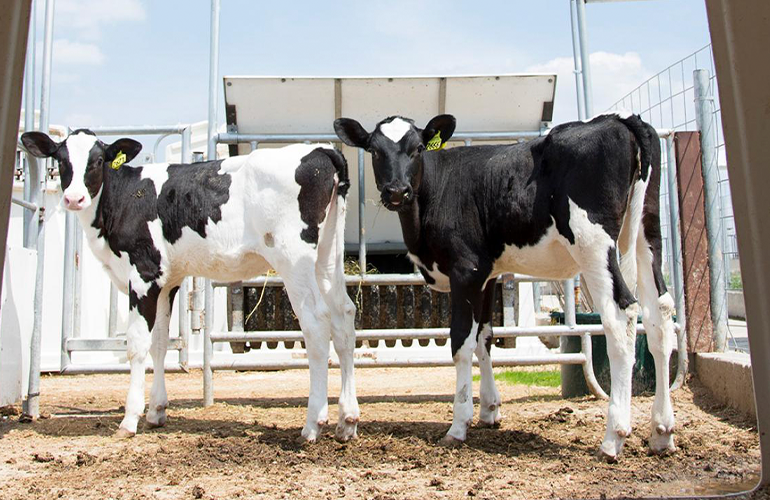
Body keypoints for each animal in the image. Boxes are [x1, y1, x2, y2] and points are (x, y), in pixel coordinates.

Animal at [22, 129, 358, 442]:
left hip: (293, 258)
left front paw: (130, 419)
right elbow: (160, 343)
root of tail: (322, 150)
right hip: (327, 256)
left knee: (316, 322)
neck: (125, 198)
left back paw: (313, 424)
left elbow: (137, 345)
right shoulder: (167, 280)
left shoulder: (143, 274)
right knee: (343, 317)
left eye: (98, 160)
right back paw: (347, 421)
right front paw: (156, 412)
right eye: (61, 160)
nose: (73, 198)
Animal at [332, 113, 676, 460]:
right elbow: (485, 337)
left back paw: (613, 438)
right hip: (648, 232)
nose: (396, 191)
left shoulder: (465, 270)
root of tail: (620, 120)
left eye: (418, 148)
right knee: (659, 315)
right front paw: (489, 410)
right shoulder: (487, 275)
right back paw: (662, 432)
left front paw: (459, 425)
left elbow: (461, 343)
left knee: (621, 316)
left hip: (593, 243)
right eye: (375, 151)